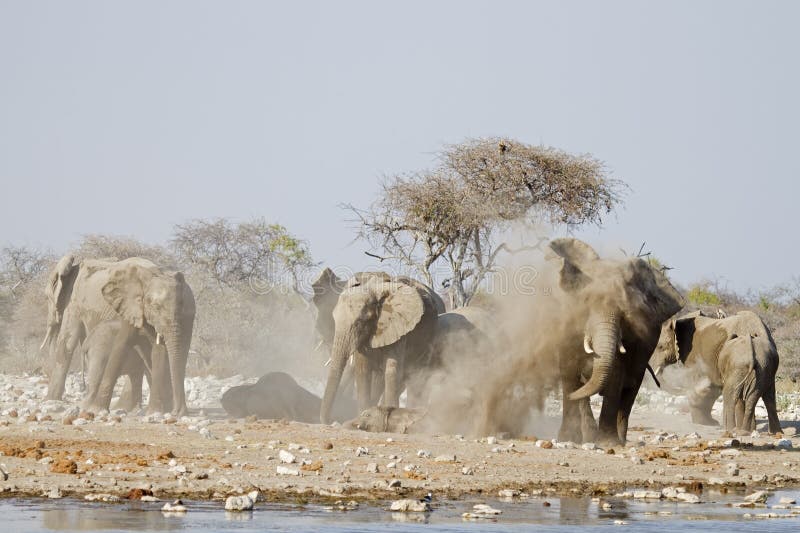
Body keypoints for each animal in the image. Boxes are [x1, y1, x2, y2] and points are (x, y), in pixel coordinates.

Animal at [42, 255, 195, 416]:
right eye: (155, 307)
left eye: (46, 297)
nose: (177, 413)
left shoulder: (74, 301)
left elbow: (67, 342)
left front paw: (50, 400)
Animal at [318, 272, 440, 422]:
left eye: (360, 322)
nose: (333, 420)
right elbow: (362, 370)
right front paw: (364, 414)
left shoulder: (399, 326)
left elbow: (392, 369)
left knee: (416, 377)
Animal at [548, 238, 684, 444]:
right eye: (585, 304)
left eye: (625, 314)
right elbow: (569, 374)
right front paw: (567, 439)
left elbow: (615, 376)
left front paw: (607, 443)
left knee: (630, 391)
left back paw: (619, 441)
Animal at [648, 308, 780, 432]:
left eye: (660, 347)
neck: (681, 320)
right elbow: (711, 388)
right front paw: (710, 423)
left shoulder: (693, 355)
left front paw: (704, 423)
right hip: (764, 367)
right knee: (765, 397)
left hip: (742, 366)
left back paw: (736, 429)